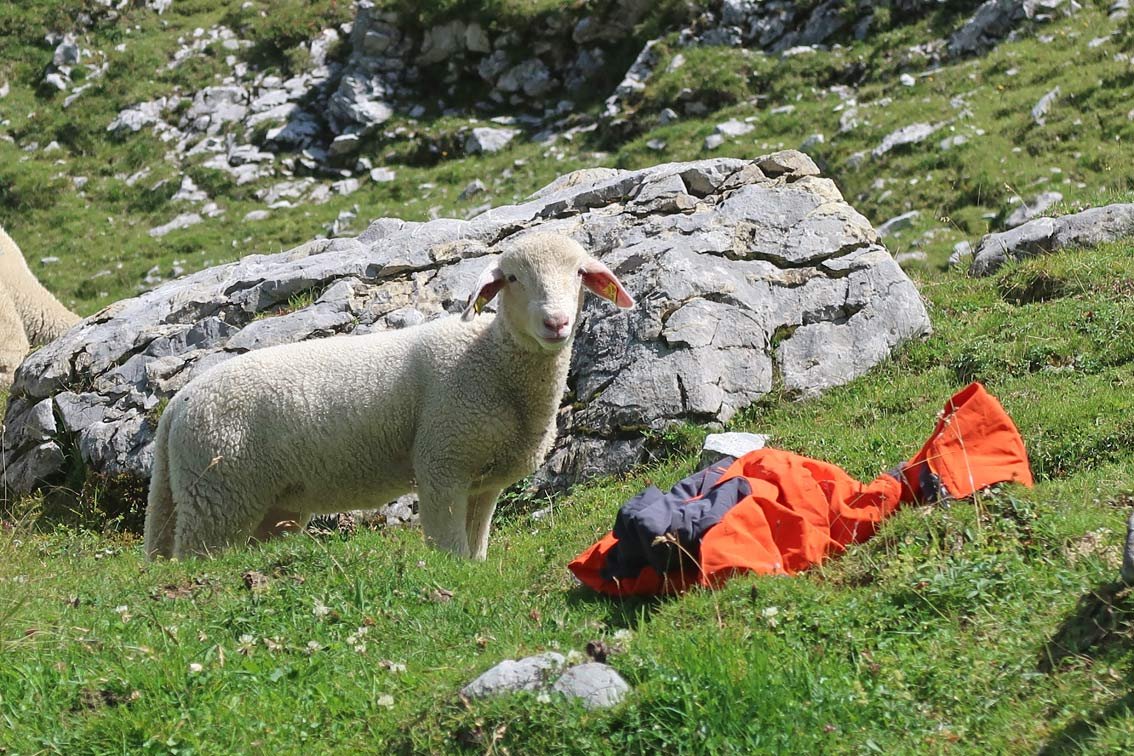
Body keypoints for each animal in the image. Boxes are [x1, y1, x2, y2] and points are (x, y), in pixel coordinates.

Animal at [144, 232, 635, 561]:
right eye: (513, 278)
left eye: (578, 274)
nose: (556, 323)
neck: (488, 360)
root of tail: (178, 404)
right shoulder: (442, 462)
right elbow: (449, 547)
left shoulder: (485, 481)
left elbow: (475, 549)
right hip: (217, 494)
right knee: (196, 556)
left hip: (267, 504)